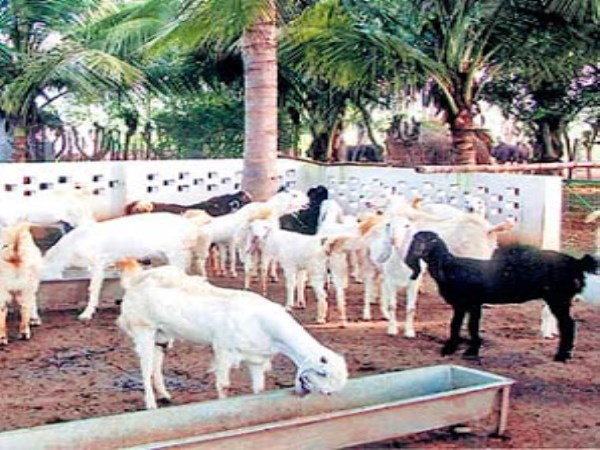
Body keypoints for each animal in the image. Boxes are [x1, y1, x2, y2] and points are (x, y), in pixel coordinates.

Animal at [41, 211, 211, 320]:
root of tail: (190, 225)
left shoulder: (98, 261)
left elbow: (93, 288)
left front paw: (86, 314)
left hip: (177, 254)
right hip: (162, 257)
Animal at [116, 258, 346, 410]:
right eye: (323, 373)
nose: (330, 394)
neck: (264, 323)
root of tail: (137, 279)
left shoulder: (256, 359)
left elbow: (259, 389)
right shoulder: (224, 350)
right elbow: (224, 386)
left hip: (162, 334)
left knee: (156, 363)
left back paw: (164, 395)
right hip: (143, 328)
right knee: (145, 368)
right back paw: (151, 403)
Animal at [406, 232, 596, 362]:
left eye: (429, 240)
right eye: (415, 239)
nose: (417, 252)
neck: (451, 267)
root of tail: (577, 262)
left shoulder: (473, 302)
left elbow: (472, 326)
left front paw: (471, 352)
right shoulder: (460, 304)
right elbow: (455, 325)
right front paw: (450, 348)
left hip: (559, 298)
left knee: (568, 325)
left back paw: (562, 356)